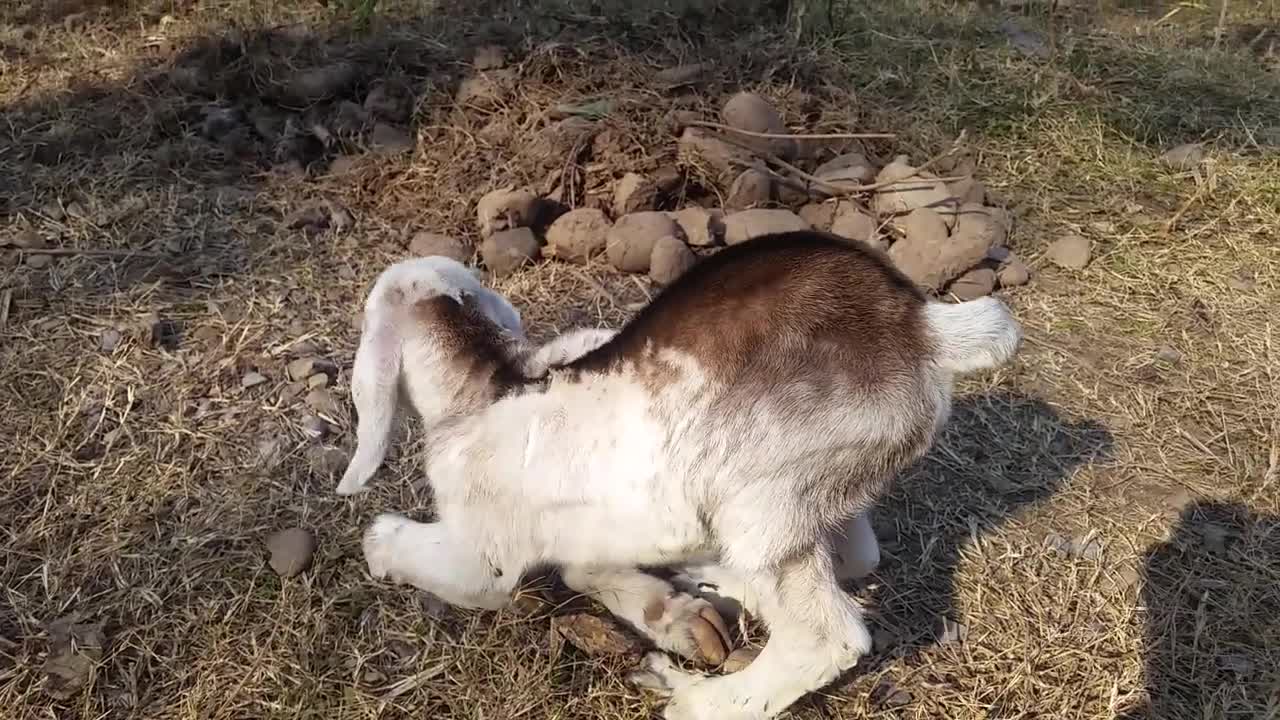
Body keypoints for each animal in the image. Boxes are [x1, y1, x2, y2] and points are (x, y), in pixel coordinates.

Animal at [355, 233, 1024, 712]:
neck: (488, 378)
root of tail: (924, 330)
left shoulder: (479, 557)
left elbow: (405, 551)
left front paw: (380, 542)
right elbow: (582, 565)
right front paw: (669, 612)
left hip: (761, 502)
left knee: (825, 637)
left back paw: (698, 697)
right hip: (826, 492)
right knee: (857, 558)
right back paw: (713, 581)